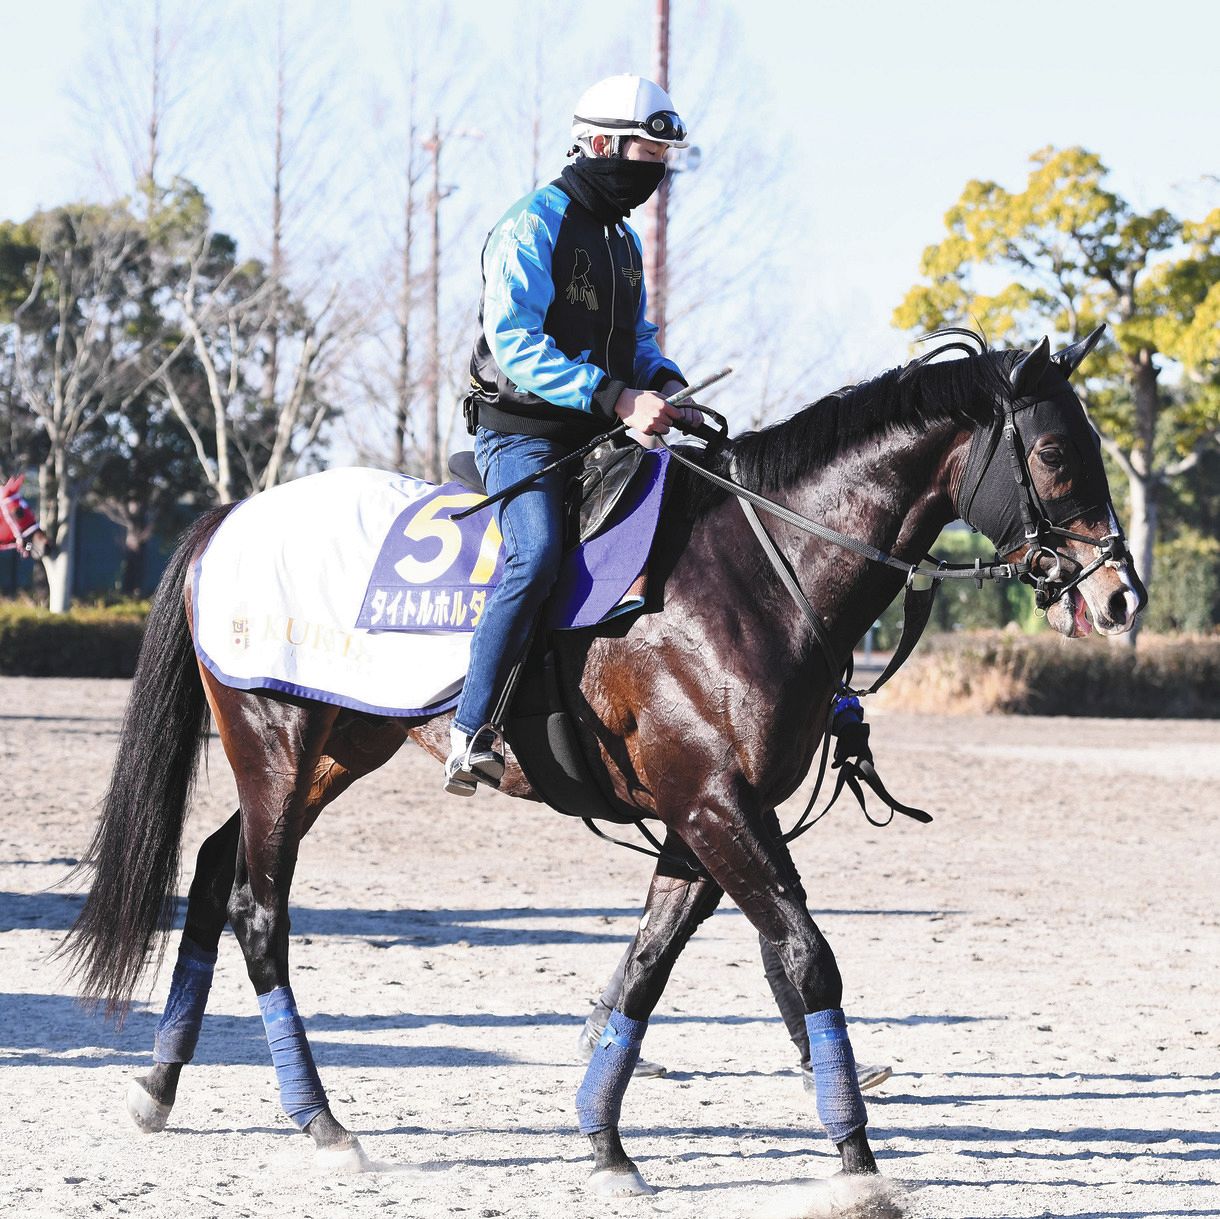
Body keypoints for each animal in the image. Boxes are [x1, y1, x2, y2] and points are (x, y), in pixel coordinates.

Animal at [59, 334, 1141, 1210]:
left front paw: (604, 1140)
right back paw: (320, 1121)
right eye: (1055, 453)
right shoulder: (714, 806)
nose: (1121, 594)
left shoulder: (701, 820)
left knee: (213, 869)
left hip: (332, 750)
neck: (754, 569)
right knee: (259, 909)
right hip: (278, 745)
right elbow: (803, 954)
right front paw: (853, 1158)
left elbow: (649, 967)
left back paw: (159, 1083)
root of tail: (231, 515)